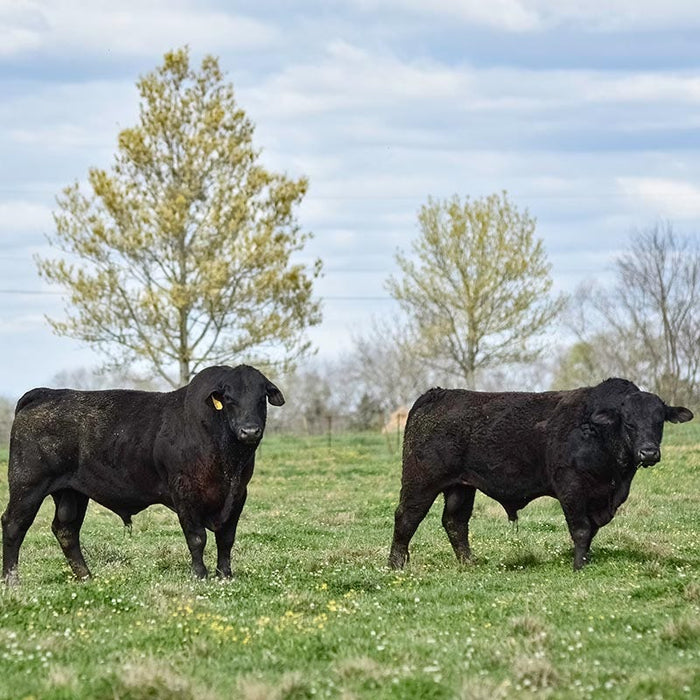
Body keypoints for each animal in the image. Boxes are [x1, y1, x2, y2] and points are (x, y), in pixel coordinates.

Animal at [2, 364, 284, 584]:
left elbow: (226, 538)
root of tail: (44, 394)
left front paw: (225, 575)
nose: (250, 430)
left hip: (71, 492)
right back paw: (11, 581)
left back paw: (86, 577)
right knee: (14, 525)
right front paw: (200, 575)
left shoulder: (238, 495)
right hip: (28, 484)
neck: (227, 461)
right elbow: (197, 538)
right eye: (229, 398)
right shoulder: (185, 492)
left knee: (66, 529)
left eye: (261, 398)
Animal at [388, 378, 693, 571]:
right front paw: (578, 567)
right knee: (406, 518)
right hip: (421, 481)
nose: (648, 453)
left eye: (659, 422)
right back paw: (395, 565)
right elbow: (581, 529)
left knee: (455, 522)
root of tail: (438, 394)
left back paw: (469, 563)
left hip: (461, 486)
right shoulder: (571, 487)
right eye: (628, 423)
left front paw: (586, 560)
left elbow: (592, 530)